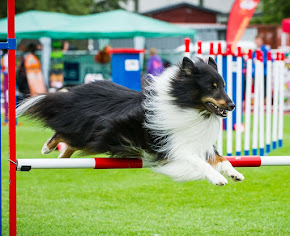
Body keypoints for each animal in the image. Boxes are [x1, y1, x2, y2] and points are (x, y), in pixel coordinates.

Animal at [17, 57, 244, 186]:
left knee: (71, 142)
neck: (187, 106)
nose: (233, 105)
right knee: (64, 132)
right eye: (211, 87)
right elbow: (199, 162)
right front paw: (218, 178)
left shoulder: (197, 143)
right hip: (91, 131)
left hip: (99, 136)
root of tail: (79, 89)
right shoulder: (173, 147)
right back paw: (48, 148)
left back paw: (61, 157)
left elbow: (222, 159)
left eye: (223, 85)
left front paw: (235, 174)